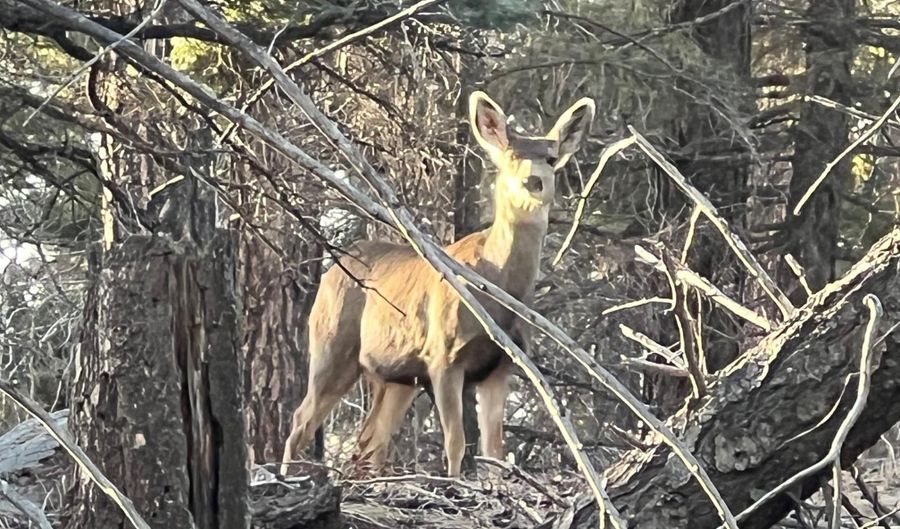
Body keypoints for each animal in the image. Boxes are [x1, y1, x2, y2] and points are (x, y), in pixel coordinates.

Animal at [278, 89, 596, 474]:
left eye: (551, 159)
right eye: (510, 157)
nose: (533, 182)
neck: (496, 287)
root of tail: (332, 269)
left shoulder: (501, 365)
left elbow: (494, 451)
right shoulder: (442, 354)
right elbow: (456, 442)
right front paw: (455, 481)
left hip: (396, 376)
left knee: (369, 442)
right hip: (333, 342)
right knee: (301, 421)